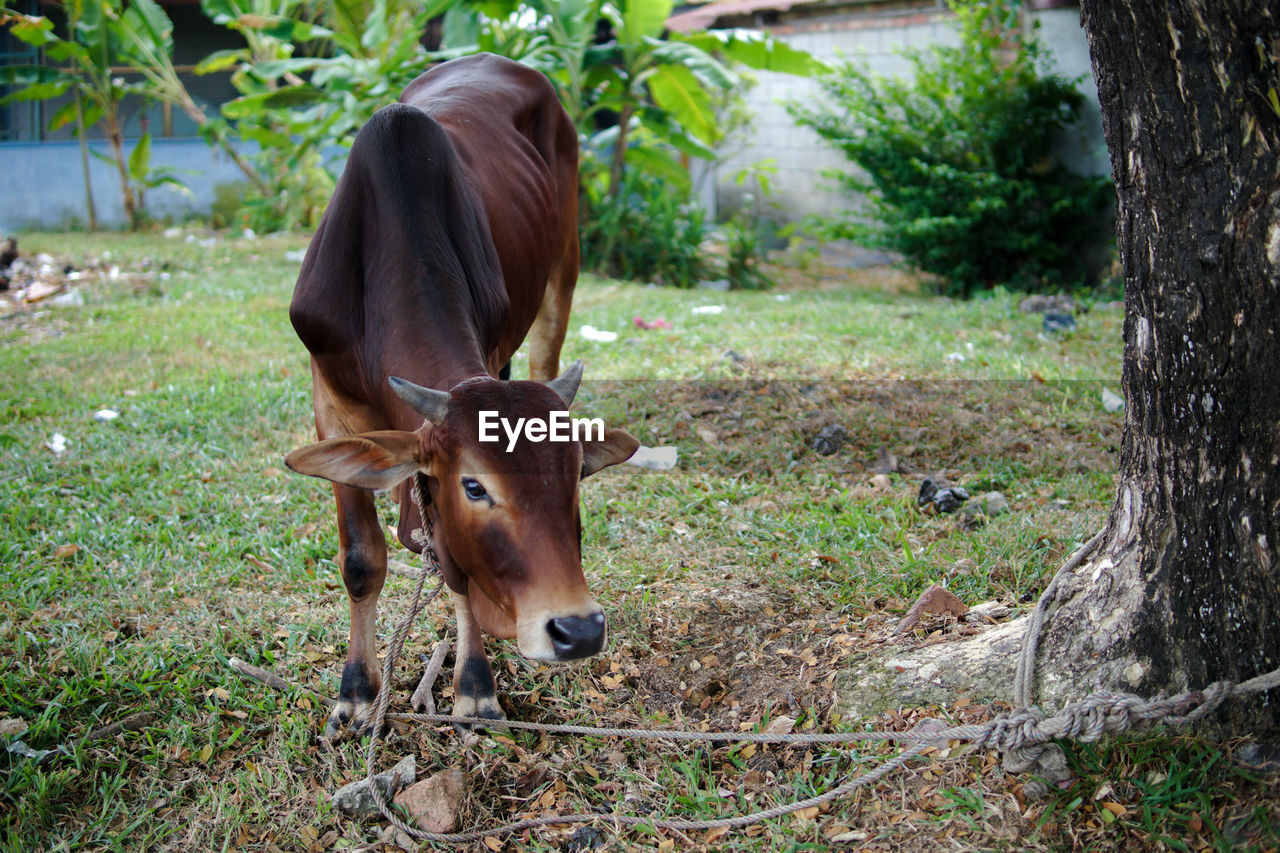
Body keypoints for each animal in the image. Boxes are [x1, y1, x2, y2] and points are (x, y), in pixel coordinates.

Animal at [282, 53, 637, 732]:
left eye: (577, 474)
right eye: (473, 487)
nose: (578, 630)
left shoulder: (492, 350)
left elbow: (458, 573)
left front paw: (474, 686)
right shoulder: (329, 404)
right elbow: (361, 559)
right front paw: (356, 691)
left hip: (564, 265)